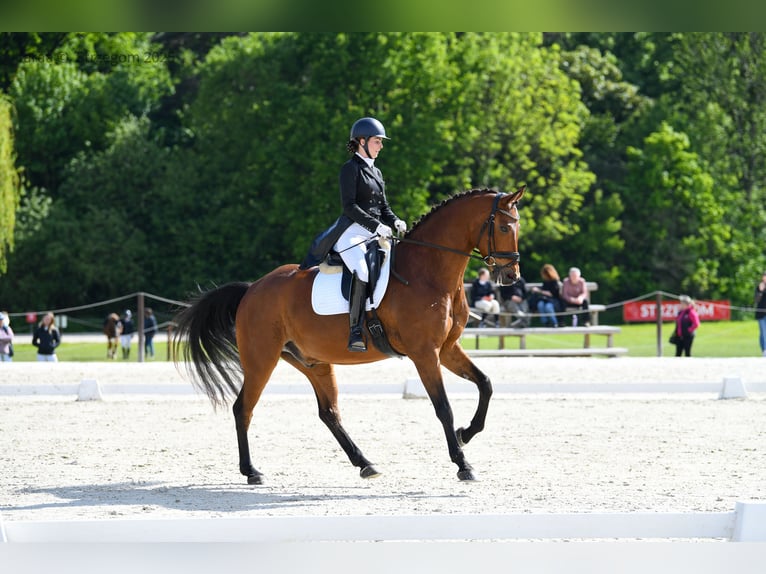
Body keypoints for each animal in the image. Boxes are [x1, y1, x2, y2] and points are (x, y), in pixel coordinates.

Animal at [172, 187, 524, 484]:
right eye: (504, 229)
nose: (511, 276)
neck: (429, 273)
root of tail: (251, 289)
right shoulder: (425, 354)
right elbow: (443, 407)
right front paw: (463, 463)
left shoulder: (448, 348)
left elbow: (485, 384)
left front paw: (467, 432)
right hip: (262, 360)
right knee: (243, 407)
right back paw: (251, 471)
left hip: (313, 362)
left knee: (328, 413)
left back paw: (365, 463)